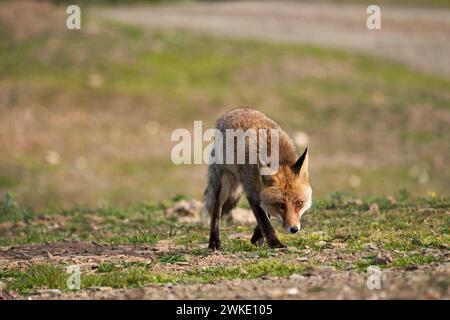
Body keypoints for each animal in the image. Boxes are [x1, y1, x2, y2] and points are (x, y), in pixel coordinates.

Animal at [205, 107, 312, 250]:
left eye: (299, 203)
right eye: (280, 205)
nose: (294, 229)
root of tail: (238, 109)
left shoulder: (262, 193)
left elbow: (267, 214)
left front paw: (257, 237)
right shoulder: (252, 194)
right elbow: (264, 221)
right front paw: (275, 243)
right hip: (223, 186)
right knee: (216, 211)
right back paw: (214, 241)